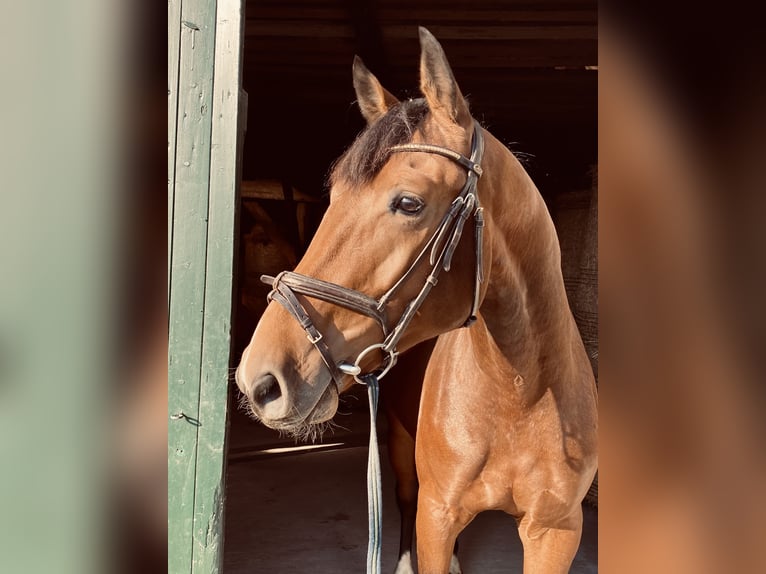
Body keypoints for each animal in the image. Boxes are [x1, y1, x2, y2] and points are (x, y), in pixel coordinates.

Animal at [236, 27, 600, 574]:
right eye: (333, 196)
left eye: (409, 203)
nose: (259, 380)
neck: (521, 395)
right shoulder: (437, 514)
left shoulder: (557, 532)